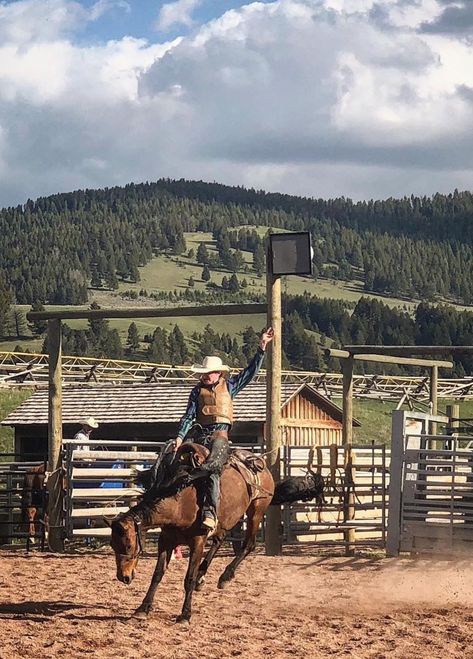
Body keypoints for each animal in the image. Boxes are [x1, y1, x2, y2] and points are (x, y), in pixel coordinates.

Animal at [108, 444, 272, 624]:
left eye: (129, 545)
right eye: (112, 545)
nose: (123, 577)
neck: (180, 503)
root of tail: (260, 462)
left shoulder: (197, 542)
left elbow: (189, 579)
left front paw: (185, 614)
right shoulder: (166, 541)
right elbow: (157, 574)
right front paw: (142, 609)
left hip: (256, 511)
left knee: (248, 544)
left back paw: (225, 577)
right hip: (227, 520)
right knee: (219, 540)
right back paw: (203, 576)